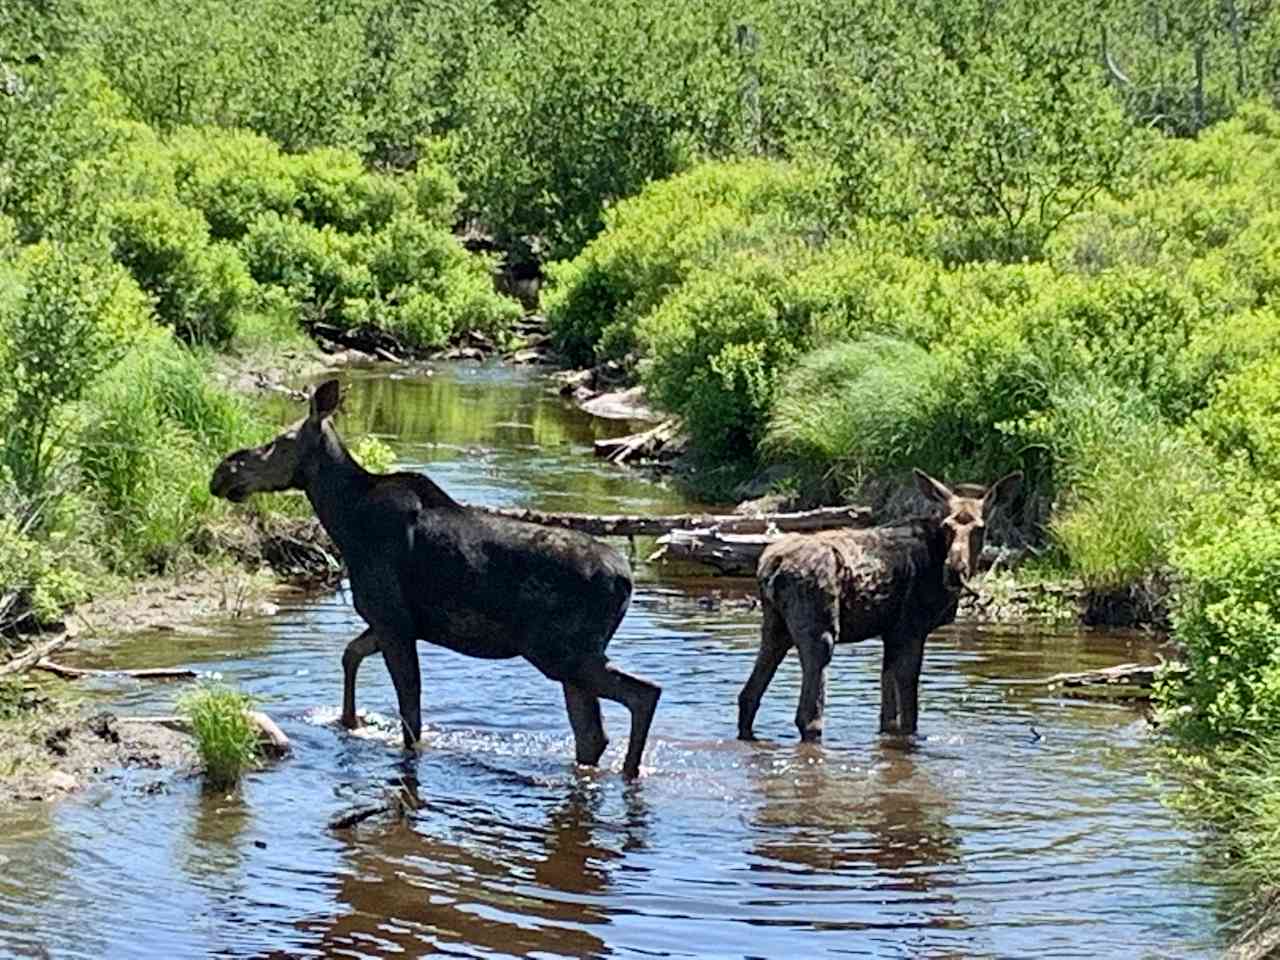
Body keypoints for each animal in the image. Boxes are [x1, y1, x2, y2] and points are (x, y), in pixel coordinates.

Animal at [208, 378, 660, 778]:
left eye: (278, 441)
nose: (222, 472)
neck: (344, 519)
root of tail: (626, 581)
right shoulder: (392, 622)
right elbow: (350, 655)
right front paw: (348, 721)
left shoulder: (393, 620)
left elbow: (410, 714)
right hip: (570, 657)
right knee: (592, 734)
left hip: (560, 651)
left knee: (643, 694)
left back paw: (631, 771)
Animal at [742, 471, 1018, 742]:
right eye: (946, 526)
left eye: (980, 528)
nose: (954, 570)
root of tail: (773, 565)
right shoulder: (910, 632)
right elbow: (909, 716)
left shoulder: (891, 634)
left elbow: (888, 714)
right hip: (820, 634)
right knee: (808, 716)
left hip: (775, 630)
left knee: (748, 696)